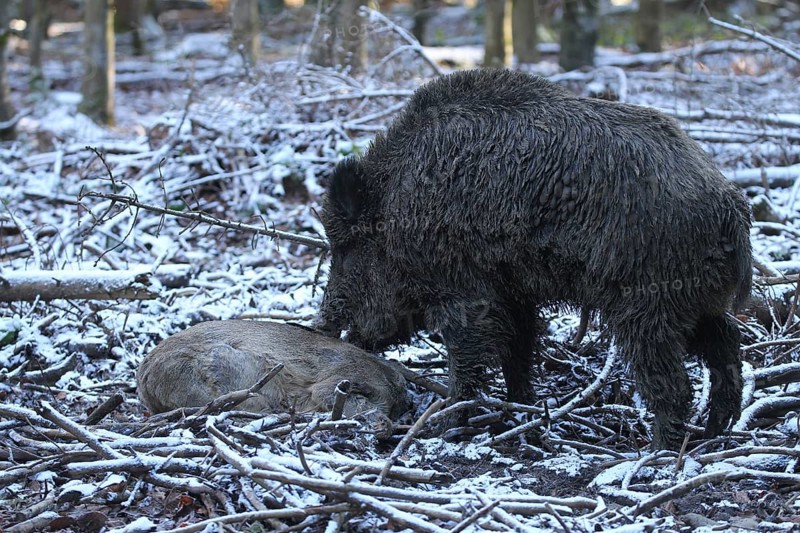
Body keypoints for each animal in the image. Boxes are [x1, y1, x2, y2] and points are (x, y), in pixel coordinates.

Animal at [317, 68, 752, 450]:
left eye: (346, 248)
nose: (321, 325)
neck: (396, 208)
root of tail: (730, 203)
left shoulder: (465, 293)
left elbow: (467, 361)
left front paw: (443, 427)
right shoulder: (515, 294)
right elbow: (519, 351)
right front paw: (520, 412)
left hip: (647, 304)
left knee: (674, 383)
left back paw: (657, 453)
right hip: (696, 299)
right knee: (726, 342)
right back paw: (715, 430)